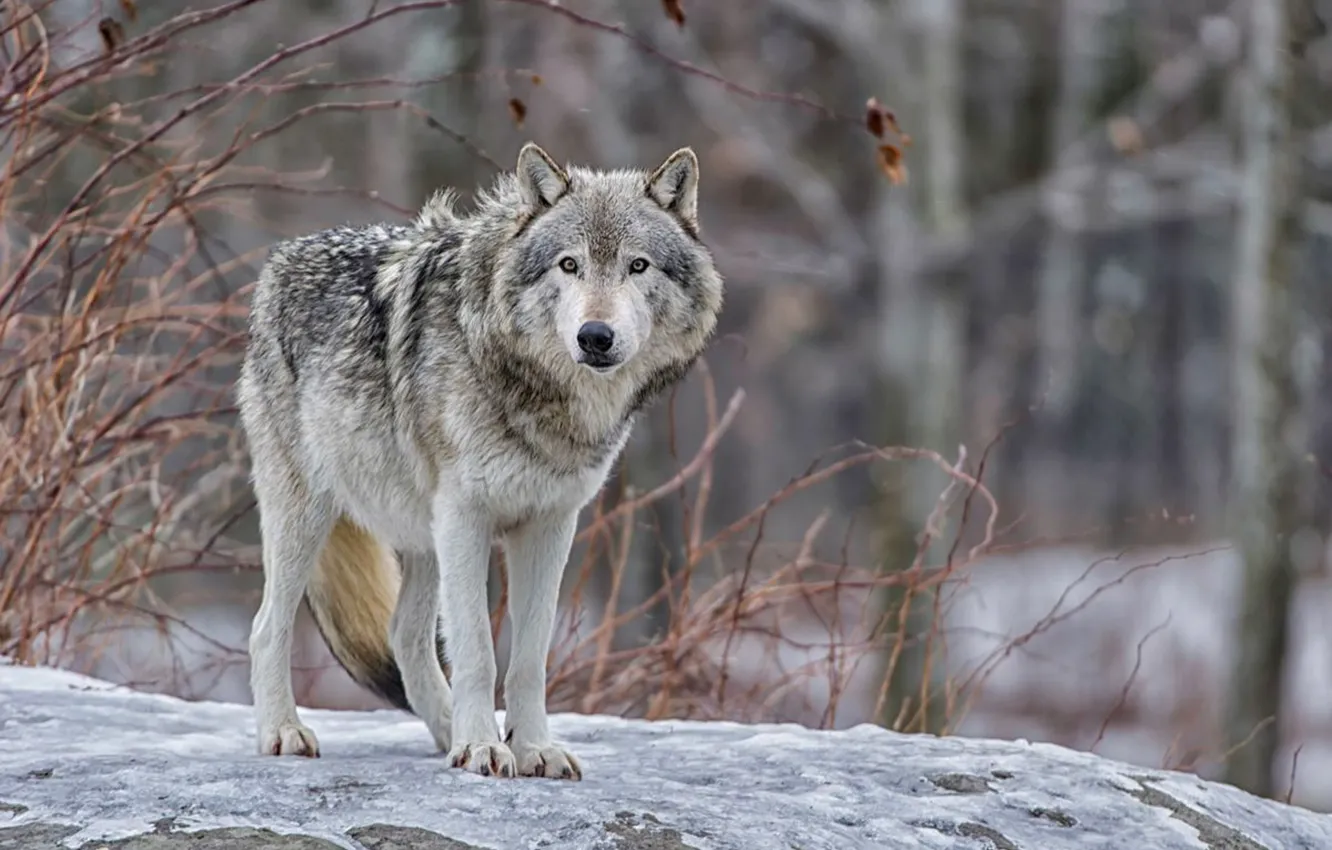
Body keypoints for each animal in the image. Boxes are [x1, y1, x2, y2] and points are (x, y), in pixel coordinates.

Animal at [237, 143, 724, 780]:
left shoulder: (549, 524)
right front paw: (482, 747)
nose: (595, 336)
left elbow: (528, 658)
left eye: (638, 266)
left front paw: (531, 747)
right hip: (310, 517)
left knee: (404, 636)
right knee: (267, 626)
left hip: (423, 537)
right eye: (569, 265)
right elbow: (476, 652)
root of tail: (282, 256)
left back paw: (445, 730)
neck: (541, 399)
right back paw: (283, 732)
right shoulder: (467, 517)